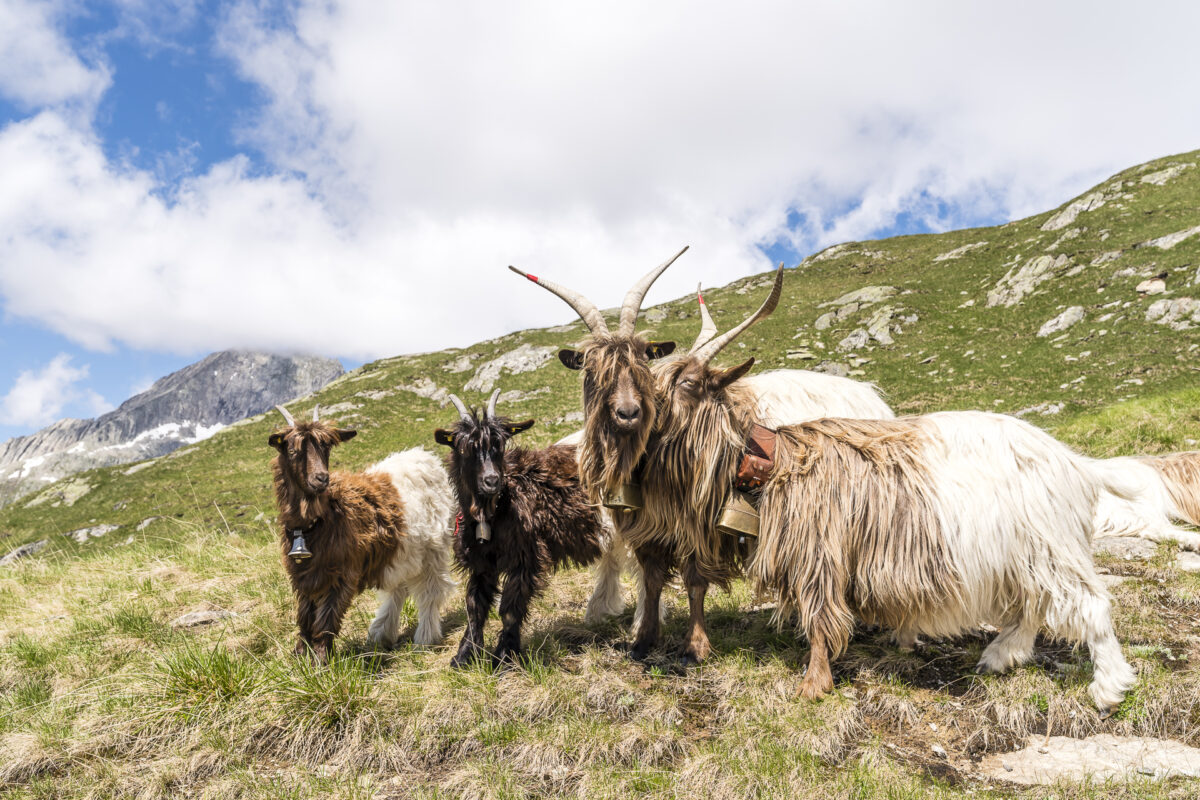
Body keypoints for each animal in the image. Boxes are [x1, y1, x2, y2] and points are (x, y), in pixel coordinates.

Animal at [269, 404, 456, 662]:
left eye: (326, 448)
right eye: (292, 450)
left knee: (431, 592)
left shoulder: (342, 574)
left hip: (433, 549)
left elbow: (326, 620)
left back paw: (425, 638)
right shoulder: (303, 576)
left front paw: (320, 662)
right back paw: (381, 634)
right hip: (402, 551)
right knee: (398, 590)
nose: (321, 478)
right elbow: (305, 618)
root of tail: (425, 457)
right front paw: (299, 657)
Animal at [436, 390, 606, 668]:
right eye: (466, 448)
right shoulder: (481, 563)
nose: (492, 480)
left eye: (499, 445)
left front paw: (505, 658)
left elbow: (509, 609)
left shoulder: (525, 556)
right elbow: (475, 607)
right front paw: (464, 656)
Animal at [644, 269, 1138, 711]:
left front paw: (813, 686)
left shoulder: (821, 551)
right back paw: (999, 657)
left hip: (1052, 545)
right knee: (1033, 607)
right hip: (1026, 557)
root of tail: (1078, 465)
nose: (635, 415)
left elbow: (819, 615)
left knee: (1091, 605)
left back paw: (1109, 689)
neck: (772, 458)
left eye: (687, 383)